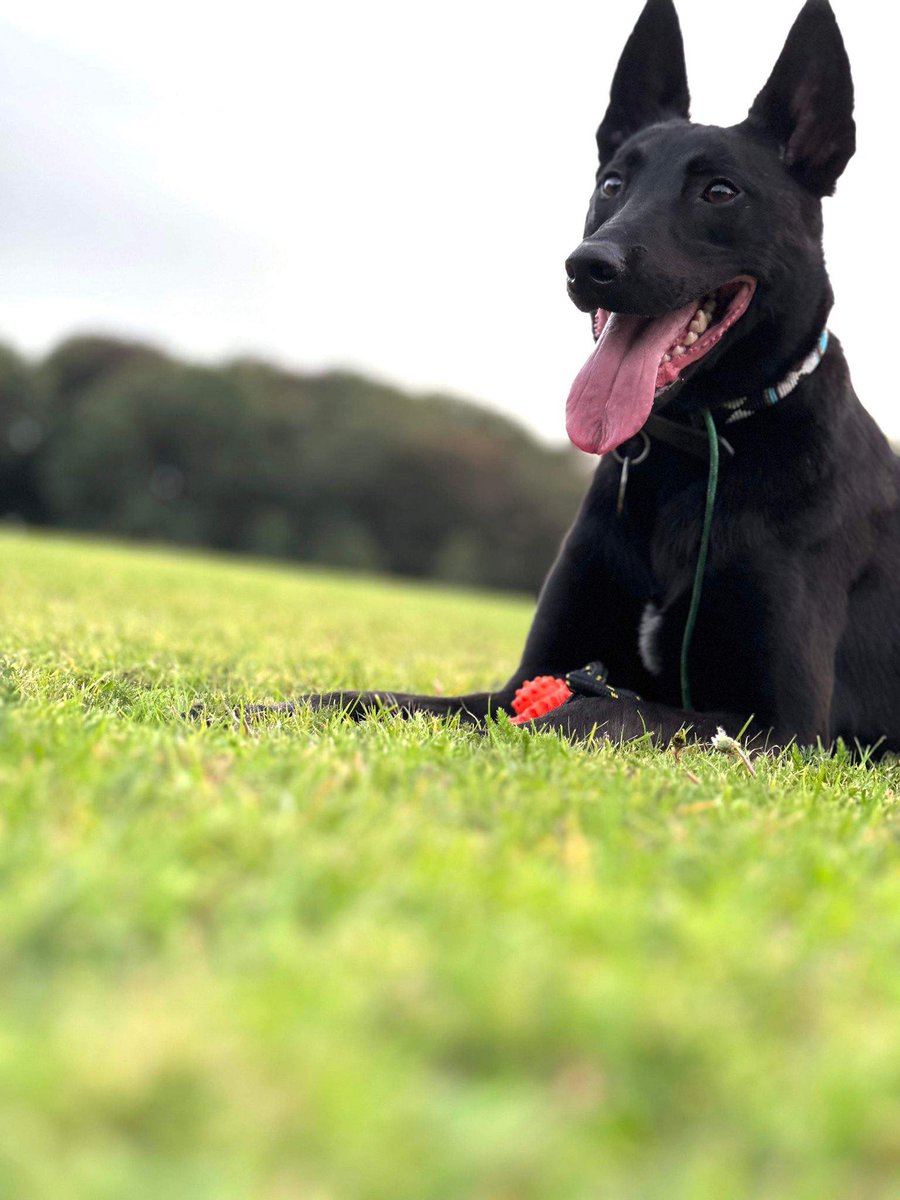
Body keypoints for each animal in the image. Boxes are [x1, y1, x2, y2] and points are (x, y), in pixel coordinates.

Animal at [256, 0, 897, 748]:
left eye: (719, 191)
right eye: (612, 183)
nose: (588, 265)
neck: (695, 456)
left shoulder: (782, 729)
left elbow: (599, 707)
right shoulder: (526, 677)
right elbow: (372, 699)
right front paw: (244, 712)